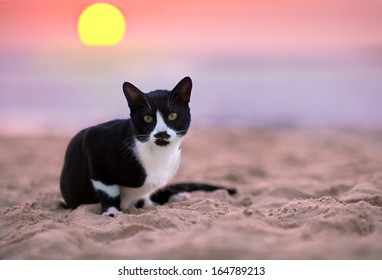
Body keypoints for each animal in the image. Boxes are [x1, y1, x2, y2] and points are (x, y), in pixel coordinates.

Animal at [59, 77, 236, 218]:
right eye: (148, 118)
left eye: (172, 115)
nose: (161, 133)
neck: (159, 154)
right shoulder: (94, 142)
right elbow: (108, 190)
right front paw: (111, 212)